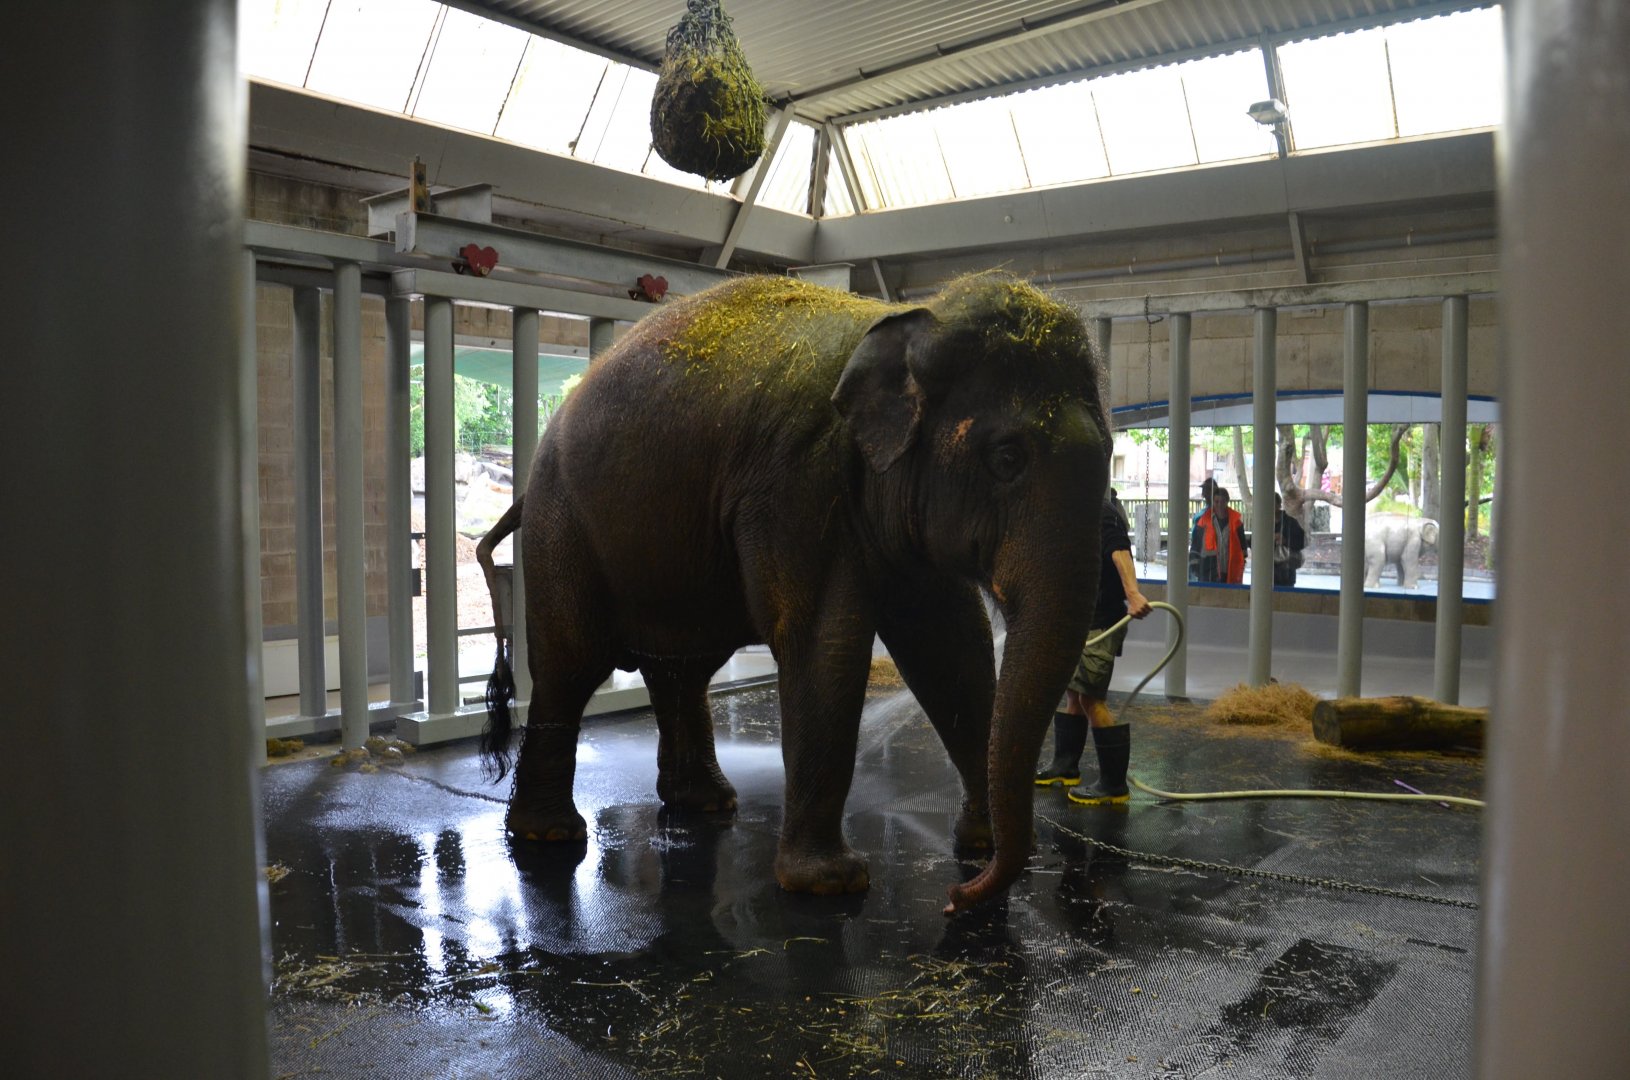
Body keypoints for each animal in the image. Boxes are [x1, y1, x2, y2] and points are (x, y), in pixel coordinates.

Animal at [475, 273, 1111, 914]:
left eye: (1109, 455)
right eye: (1007, 458)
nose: (957, 897)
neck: (909, 323)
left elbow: (953, 649)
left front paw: (979, 844)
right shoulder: (797, 482)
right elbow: (826, 645)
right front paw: (831, 883)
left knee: (681, 670)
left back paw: (705, 804)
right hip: (563, 529)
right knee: (571, 665)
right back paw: (550, 833)